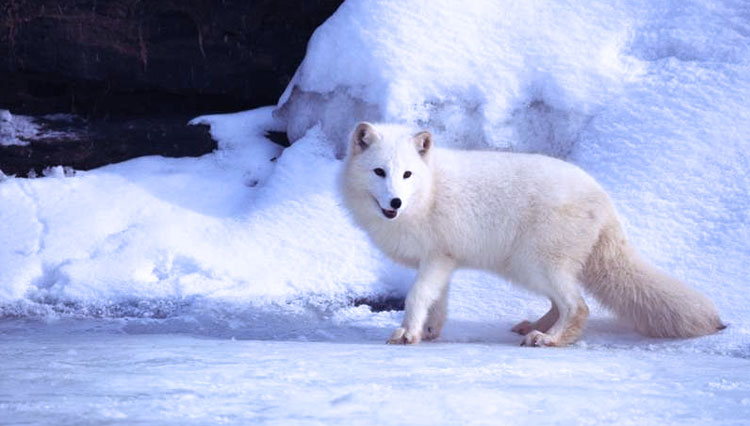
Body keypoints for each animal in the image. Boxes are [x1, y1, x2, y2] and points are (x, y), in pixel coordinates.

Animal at [342, 122, 728, 346]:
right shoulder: (442, 260)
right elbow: (436, 302)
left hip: (536, 263)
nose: (395, 201)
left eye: (406, 174)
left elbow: (417, 296)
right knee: (559, 303)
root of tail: (603, 198)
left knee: (577, 306)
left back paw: (550, 339)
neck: (429, 190)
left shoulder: (436, 257)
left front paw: (407, 333)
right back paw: (534, 328)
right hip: (527, 268)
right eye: (379, 172)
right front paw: (429, 333)